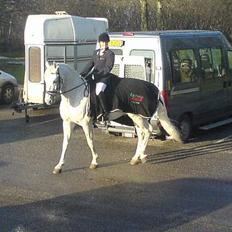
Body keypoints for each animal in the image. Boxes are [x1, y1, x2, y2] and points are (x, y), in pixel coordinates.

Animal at [44, 62, 182, 174]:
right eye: (45, 79)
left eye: (55, 80)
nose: (48, 100)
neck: (75, 95)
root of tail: (154, 88)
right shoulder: (67, 123)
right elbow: (65, 143)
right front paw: (59, 166)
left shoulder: (85, 123)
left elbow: (89, 141)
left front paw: (94, 162)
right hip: (136, 116)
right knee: (142, 133)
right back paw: (136, 158)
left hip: (140, 116)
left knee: (147, 131)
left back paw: (141, 156)